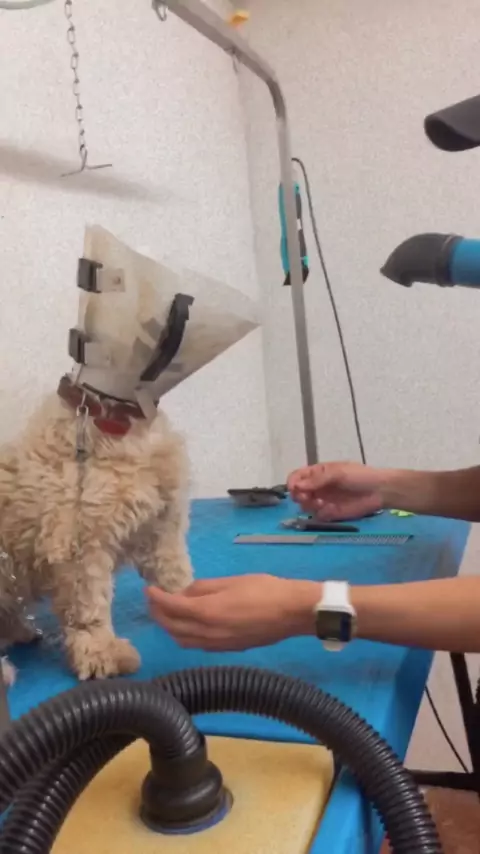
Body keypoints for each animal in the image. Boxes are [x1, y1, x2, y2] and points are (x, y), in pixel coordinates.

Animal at [0, 381, 193, 682]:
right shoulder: (82, 543)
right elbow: (89, 606)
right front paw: (101, 652)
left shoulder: (161, 525)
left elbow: (175, 571)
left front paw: (192, 605)